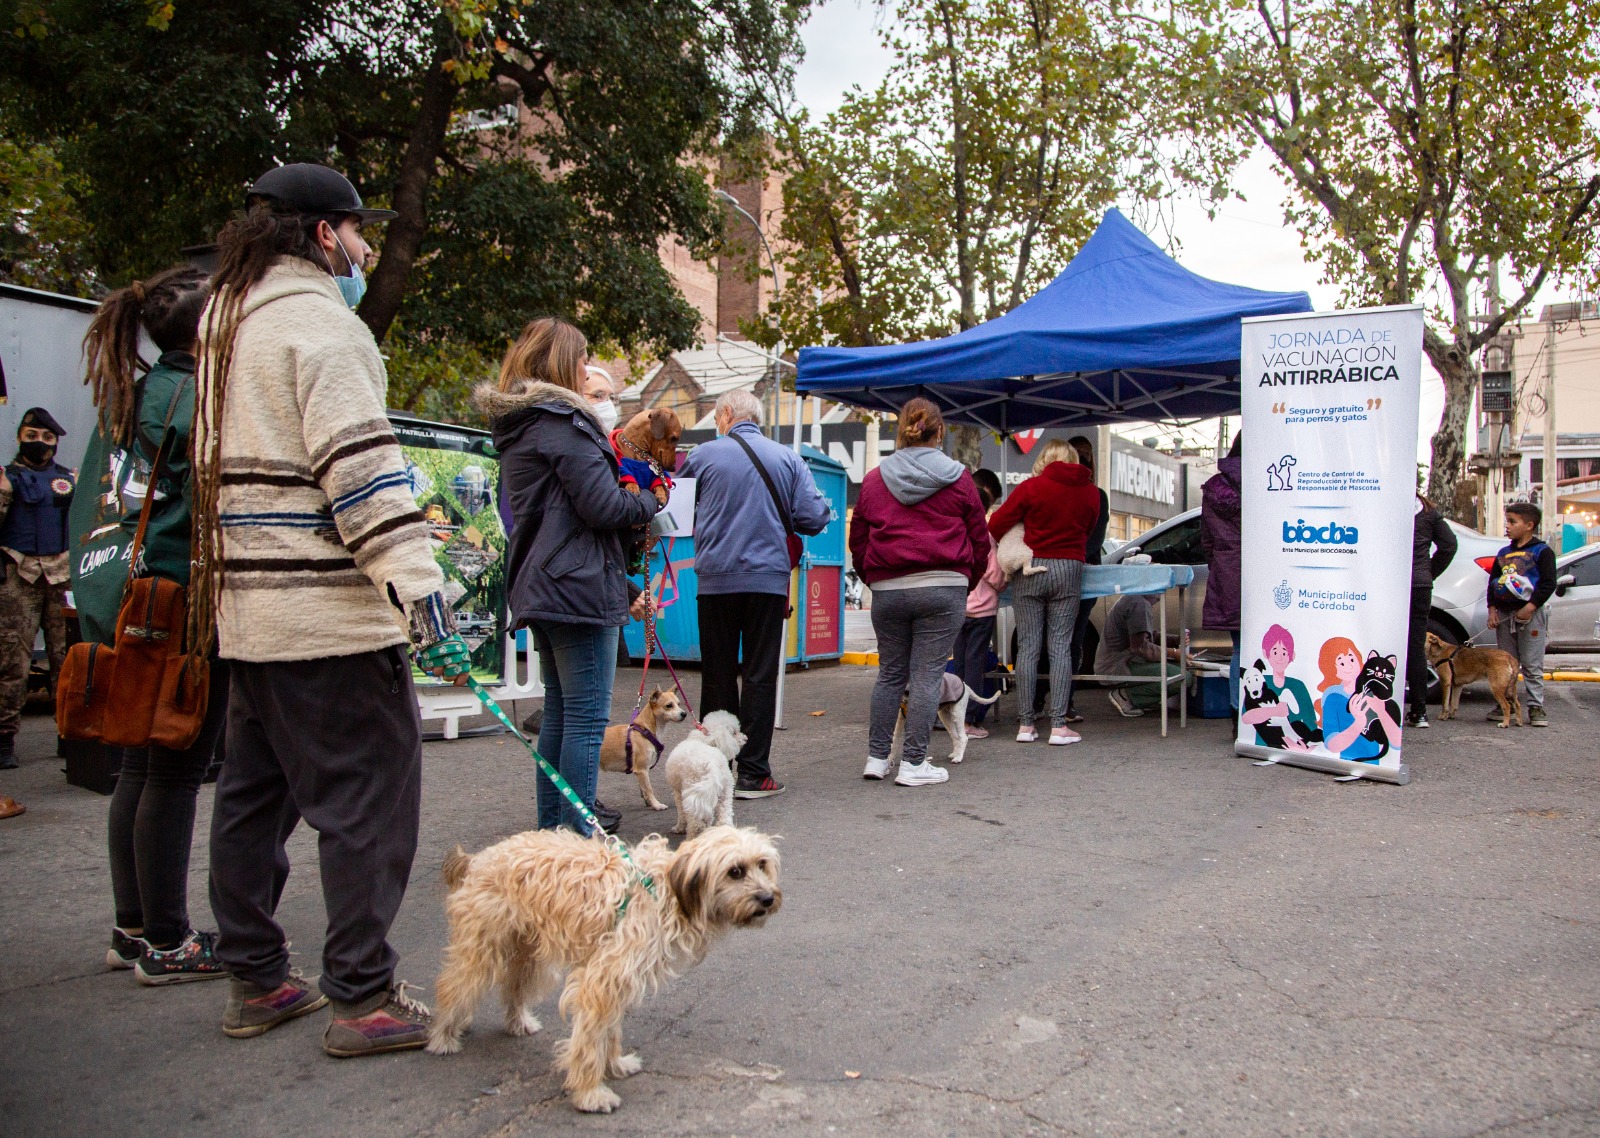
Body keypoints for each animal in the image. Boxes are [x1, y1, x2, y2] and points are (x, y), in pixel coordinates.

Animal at [422, 825, 777, 1120]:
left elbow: (609, 1031)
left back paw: (517, 1022)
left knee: (513, 987)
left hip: (530, 954)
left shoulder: (616, 979)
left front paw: (615, 1064)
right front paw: (590, 1093)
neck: (664, 895)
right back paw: (443, 1036)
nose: (768, 898)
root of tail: (477, 860)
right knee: (452, 985)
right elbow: (590, 1039)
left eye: (762, 864)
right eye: (735, 871)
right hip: (481, 951)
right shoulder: (601, 981)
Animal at [662, 710, 742, 838]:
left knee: (696, 822)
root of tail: (711, 764)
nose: (746, 738)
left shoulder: (678, 793)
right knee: (724, 815)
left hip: (693, 790)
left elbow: (681, 813)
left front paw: (679, 828)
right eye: (734, 733)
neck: (705, 740)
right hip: (723, 791)